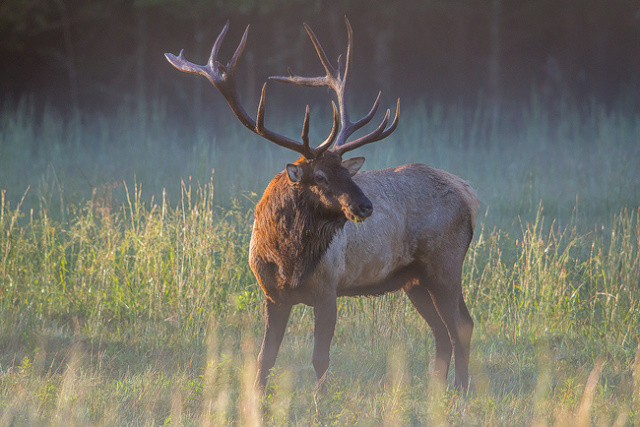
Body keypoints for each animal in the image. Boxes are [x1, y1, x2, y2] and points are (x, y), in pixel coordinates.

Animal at [164, 16, 476, 392]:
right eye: (322, 176)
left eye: (347, 171)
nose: (365, 206)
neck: (288, 260)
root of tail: (467, 192)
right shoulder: (272, 294)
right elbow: (265, 357)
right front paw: (257, 396)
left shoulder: (328, 290)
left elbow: (320, 359)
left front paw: (320, 399)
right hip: (414, 279)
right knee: (443, 331)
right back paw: (438, 390)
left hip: (445, 264)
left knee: (462, 325)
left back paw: (461, 390)